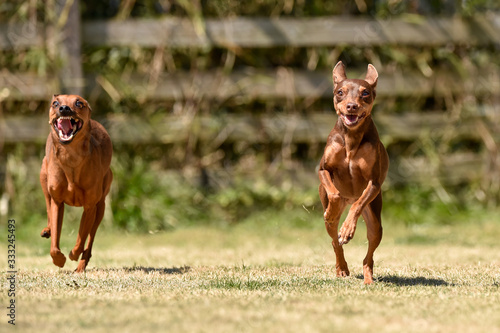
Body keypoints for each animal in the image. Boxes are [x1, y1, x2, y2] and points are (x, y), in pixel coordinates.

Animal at [39, 94, 113, 272]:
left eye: (79, 103)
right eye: (55, 103)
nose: (64, 108)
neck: (70, 157)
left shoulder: (90, 207)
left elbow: (81, 238)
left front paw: (73, 254)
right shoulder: (58, 202)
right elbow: (54, 244)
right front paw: (59, 260)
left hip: (101, 207)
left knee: (90, 241)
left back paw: (80, 266)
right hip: (44, 179)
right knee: (48, 208)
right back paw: (48, 230)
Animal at [318, 60, 388, 282]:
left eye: (365, 93)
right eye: (340, 92)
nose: (351, 106)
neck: (351, 138)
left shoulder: (374, 182)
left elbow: (357, 205)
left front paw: (348, 229)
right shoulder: (322, 170)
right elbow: (334, 193)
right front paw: (332, 212)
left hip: (374, 217)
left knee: (369, 253)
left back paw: (368, 277)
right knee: (334, 240)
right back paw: (341, 268)